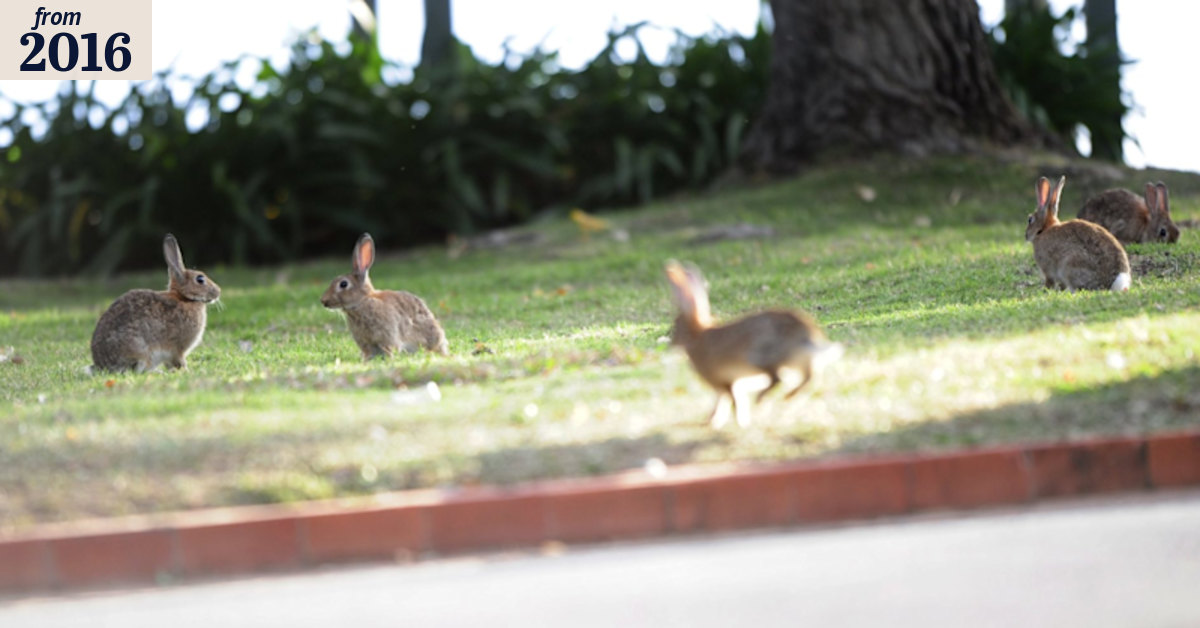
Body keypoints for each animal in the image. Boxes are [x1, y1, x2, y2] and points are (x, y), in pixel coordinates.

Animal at [90, 234, 221, 372]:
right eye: (200, 279)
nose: (218, 291)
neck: (184, 297)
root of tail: (102, 365)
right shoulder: (177, 348)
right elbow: (179, 360)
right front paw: (186, 371)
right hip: (140, 352)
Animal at [321, 233, 449, 359]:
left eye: (343, 284)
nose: (323, 301)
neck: (362, 301)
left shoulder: (388, 336)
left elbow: (390, 348)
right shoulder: (366, 343)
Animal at [664, 260, 843, 429]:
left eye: (675, 328)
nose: (671, 345)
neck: (697, 336)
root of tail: (807, 335)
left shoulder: (722, 382)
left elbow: (729, 401)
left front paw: (735, 423)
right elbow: (727, 400)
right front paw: (713, 421)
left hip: (760, 357)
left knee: (778, 379)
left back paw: (763, 399)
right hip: (797, 362)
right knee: (810, 378)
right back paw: (786, 397)